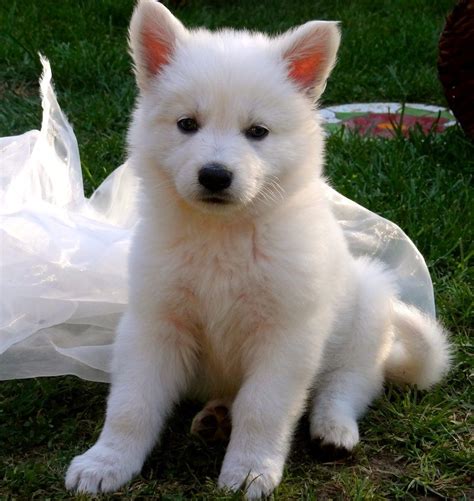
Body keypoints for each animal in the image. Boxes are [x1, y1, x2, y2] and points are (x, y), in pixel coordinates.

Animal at [65, 1, 450, 498]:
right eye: (187, 124)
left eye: (258, 131)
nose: (215, 175)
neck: (223, 235)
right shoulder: (155, 323)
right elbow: (132, 403)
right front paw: (106, 461)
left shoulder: (285, 337)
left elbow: (263, 408)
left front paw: (249, 471)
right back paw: (214, 418)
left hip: (366, 311)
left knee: (349, 384)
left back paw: (333, 429)